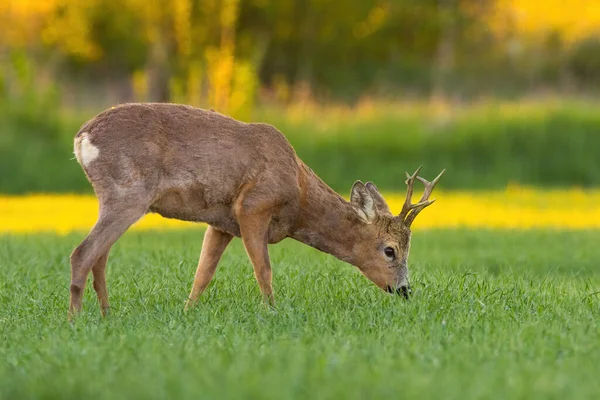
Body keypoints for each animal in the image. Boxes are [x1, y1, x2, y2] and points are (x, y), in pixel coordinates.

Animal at [70, 103, 446, 318]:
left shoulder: (221, 222)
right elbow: (263, 270)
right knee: (82, 252)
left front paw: (188, 313)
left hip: (118, 198)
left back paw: (107, 316)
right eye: (389, 250)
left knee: (99, 255)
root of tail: (81, 137)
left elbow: (202, 274)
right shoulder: (252, 206)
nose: (405, 290)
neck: (298, 197)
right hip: (129, 192)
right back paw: (76, 321)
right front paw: (272, 314)